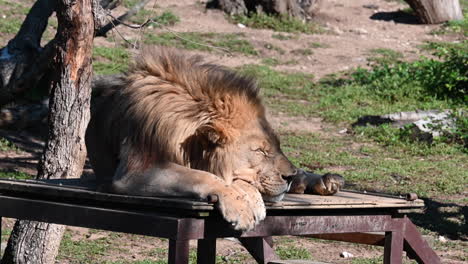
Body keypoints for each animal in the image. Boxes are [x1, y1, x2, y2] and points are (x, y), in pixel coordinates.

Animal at [87, 46, 344, 230]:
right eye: (260, 151)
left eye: (276, 146)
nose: (288, 176)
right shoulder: (134, 172)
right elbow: (204, 175)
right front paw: (242, 206)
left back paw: (324, 180)